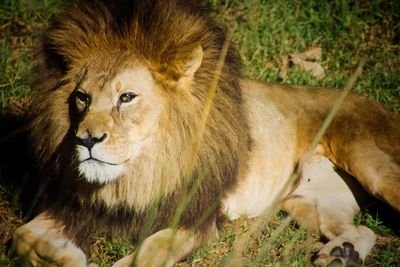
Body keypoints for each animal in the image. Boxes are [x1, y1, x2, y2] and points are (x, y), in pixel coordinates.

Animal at [13, 0, 400, 267]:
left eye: (127, 97)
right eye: (82, 97)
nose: (86, 139)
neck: (137, 174)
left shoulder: (196, 216)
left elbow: (148, 252)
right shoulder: (73, 207)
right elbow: (21, 236)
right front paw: (69, 256)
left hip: (372, 166)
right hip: (306, 203)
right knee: (362, 229)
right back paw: (342, 254)